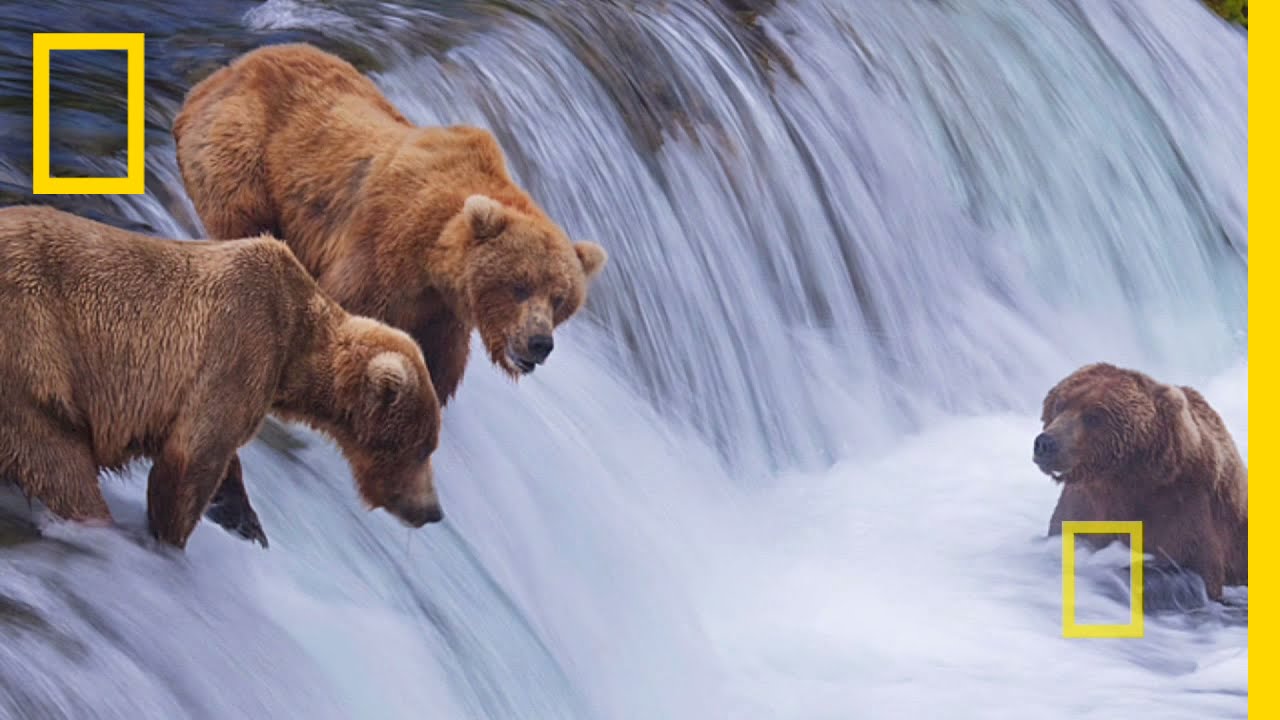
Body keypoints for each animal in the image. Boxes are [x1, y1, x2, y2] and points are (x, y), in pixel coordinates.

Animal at [0, 205, 444, 550]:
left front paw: (246, 522)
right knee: (59, 466)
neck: (295, 348)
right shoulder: (240, 345)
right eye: (422, 447)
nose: (433, 511)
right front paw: (172, 540)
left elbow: (223, 464)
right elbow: (191, 458)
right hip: (32, 355)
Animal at [172, 43, 607, 540]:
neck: (433, 260)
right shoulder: (379, 256)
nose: (538, 343)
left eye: (560, 300)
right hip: (243, 162)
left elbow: (436, 374)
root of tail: (226, 71)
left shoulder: (441, 318)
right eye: (519, 285)